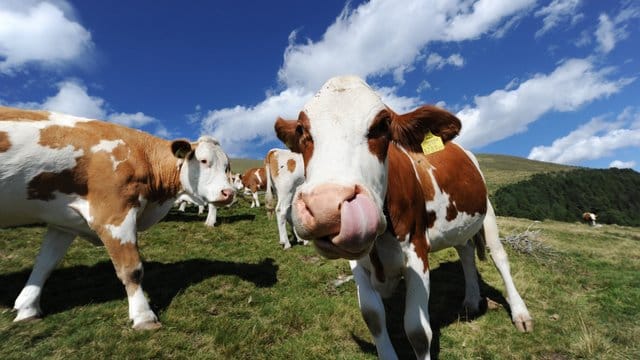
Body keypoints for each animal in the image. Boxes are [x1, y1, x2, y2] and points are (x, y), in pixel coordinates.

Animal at [0, 106, 235, 330]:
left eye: (227, 167)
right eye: (203, 161)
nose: (228, 193)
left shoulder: (64, 222)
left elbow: (44, 265)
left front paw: (28, 309)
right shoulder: (115, 213)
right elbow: (131, 269)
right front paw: (143, 316)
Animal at [272, 76, 532, 360]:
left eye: (382, 126)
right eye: (301, 130)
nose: (326, 208)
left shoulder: (417, 252)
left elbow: (418, 331)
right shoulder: (358, 263)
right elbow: (373, 317)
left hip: (488, 212)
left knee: (499, 257)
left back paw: (520, 314)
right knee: (465, 252)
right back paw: (472, 301)